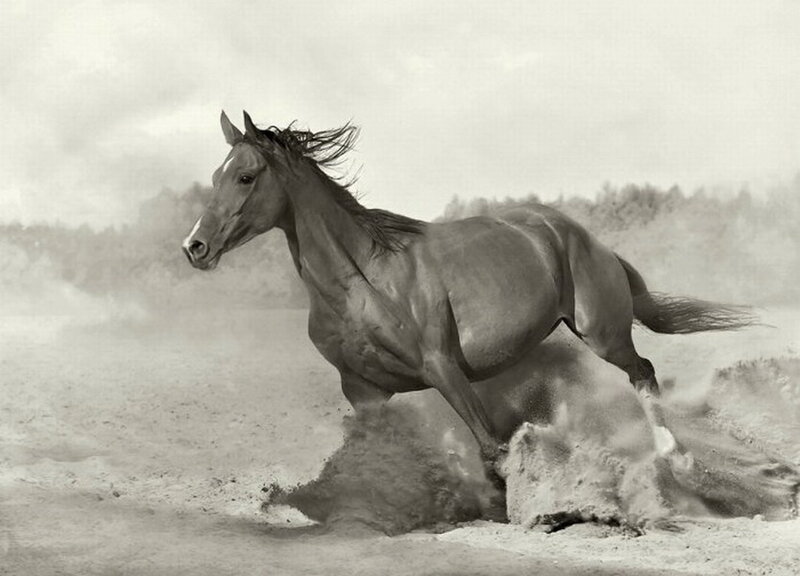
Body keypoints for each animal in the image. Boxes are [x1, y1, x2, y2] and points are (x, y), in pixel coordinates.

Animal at [182, 110, 754, 484]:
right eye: (215, 175)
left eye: (246, 176)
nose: (194, 247)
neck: (364, 281)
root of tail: (585, 236)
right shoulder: (362, 390)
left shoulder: (443, 368)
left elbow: (491, 448)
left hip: (602, 332)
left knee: (644, 372)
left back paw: (675, 460)